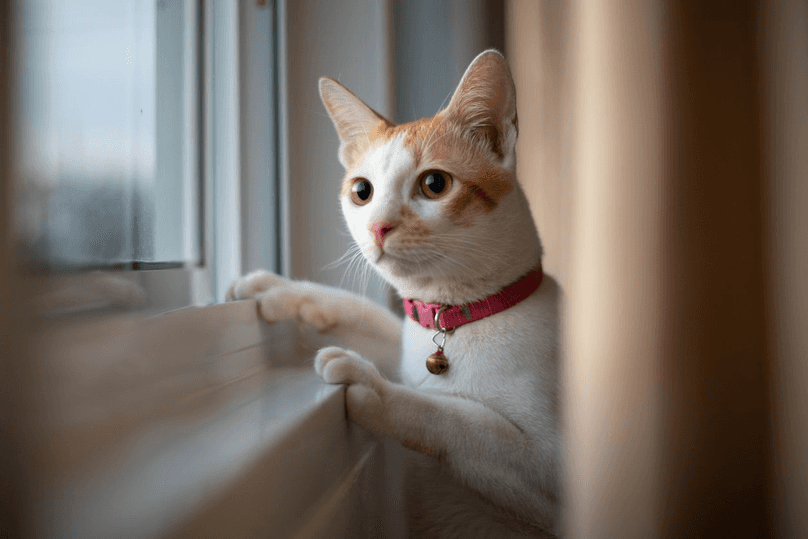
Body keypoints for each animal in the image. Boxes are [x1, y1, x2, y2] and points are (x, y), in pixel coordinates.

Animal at [224, 51, 560, 539]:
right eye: (361, 191)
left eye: (434, 184)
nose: (377, 227)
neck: (454, 317)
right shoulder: (407, 337)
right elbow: (369, 316)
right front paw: (283, 289)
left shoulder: (551, 473)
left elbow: (458, 415)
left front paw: (374, 387)